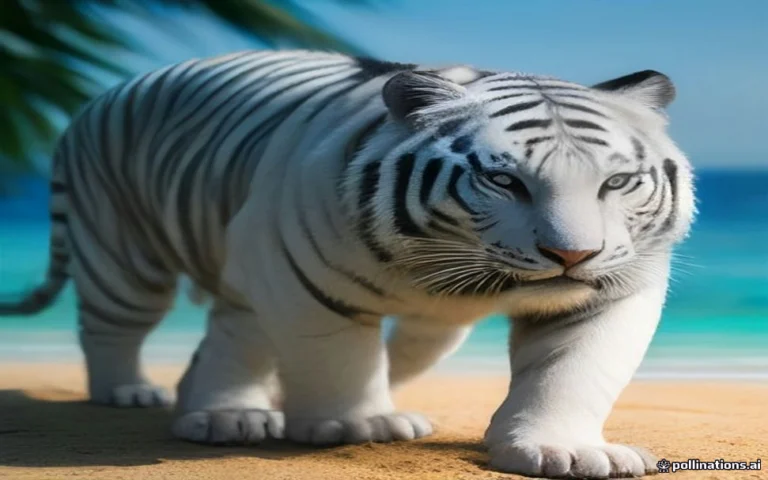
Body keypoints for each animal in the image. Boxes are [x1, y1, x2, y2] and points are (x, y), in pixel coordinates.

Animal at [0, 49, 695, 479]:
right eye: (504, 181)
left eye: (616, 183)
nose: (573, 255)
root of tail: (104, 95)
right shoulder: (299, 272)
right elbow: (338, 356)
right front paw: (360, 423)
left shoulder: (610, 291)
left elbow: (571, 370)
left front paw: (561, 450)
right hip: (126, 256)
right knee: (113, 328)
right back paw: (131, 391)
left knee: (235, 335)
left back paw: (225, 414)